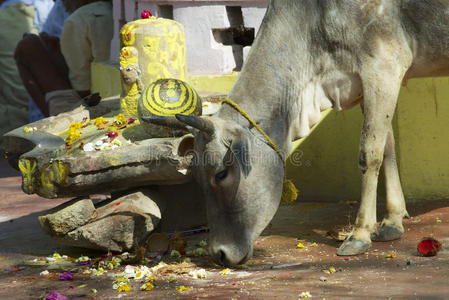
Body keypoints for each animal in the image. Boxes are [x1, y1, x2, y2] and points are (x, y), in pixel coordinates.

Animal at [144, 0, 449, 264]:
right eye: (195, 176)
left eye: (220, 173)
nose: (219, 254)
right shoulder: (366, 82)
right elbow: (387, 147)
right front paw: (392, 221)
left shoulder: (384, 65)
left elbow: (369, 153)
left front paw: (360, 234)